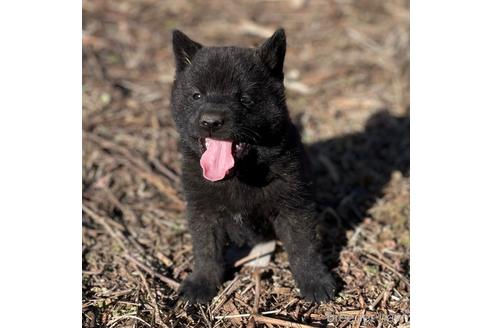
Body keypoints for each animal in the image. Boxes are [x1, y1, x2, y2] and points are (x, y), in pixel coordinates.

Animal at [171, 28, 336, 302]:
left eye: (244, 98)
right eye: (196, 95)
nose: (211, 121)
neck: (240, 176)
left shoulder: (295, 206)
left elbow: (303, 247)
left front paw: (315, 281)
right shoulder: (203, 209)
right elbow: (206, 250)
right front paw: (201, 283)